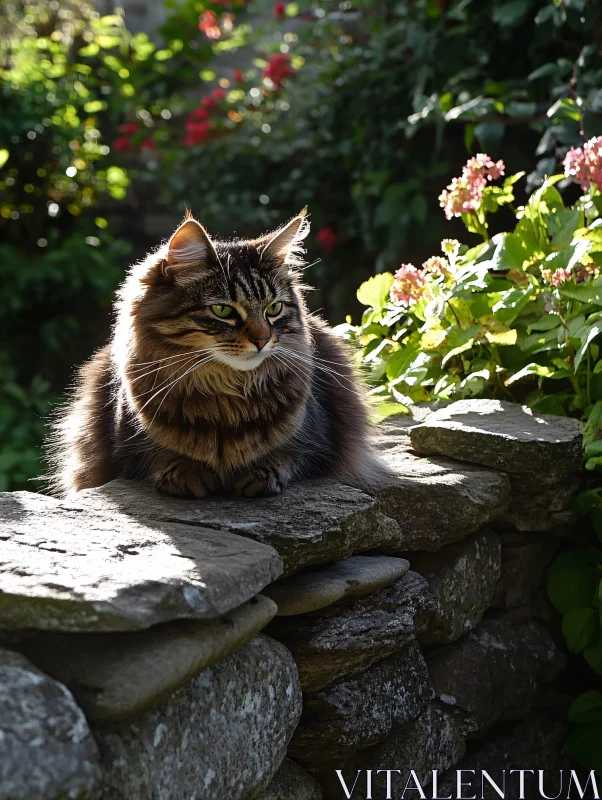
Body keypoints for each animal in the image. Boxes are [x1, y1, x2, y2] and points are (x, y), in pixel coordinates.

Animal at [47, 209, 380, 496]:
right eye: (223, 311)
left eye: (273, 309)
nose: (262, 340)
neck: (226, 394)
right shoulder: (123, 451)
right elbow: (160, 457)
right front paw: (185, 473)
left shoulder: (319, 443)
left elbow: (287, 455)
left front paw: (260, 473)